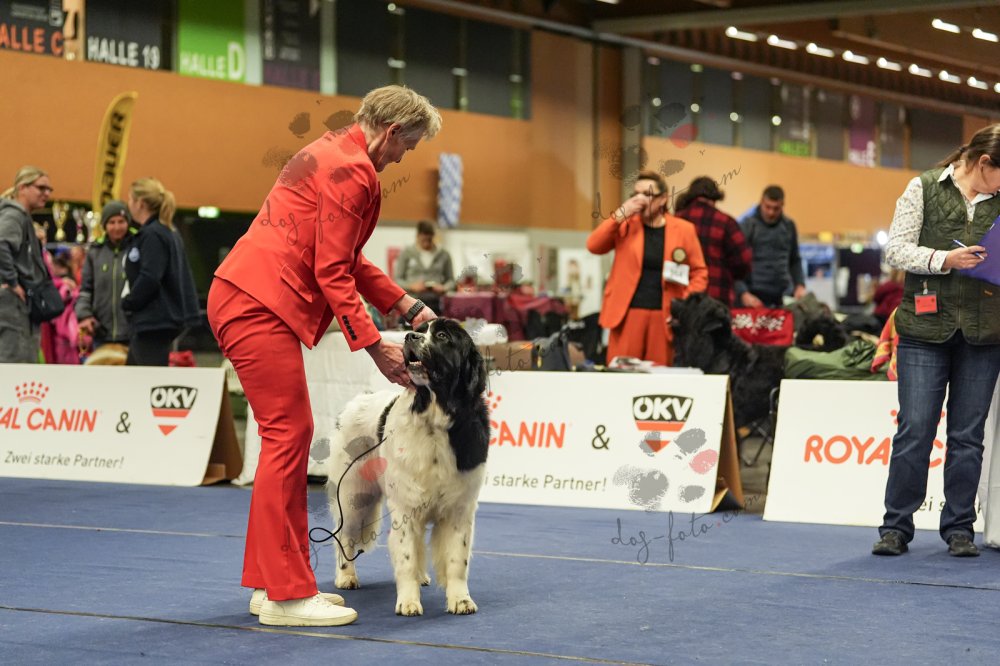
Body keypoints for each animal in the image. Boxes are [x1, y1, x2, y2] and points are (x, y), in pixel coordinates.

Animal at [326, 318, 489, 616]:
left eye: (442, 335)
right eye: (421, 329)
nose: (410, 335)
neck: (435, 418)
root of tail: (356, 401)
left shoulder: (459, 508)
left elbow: (456, 559)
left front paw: (460, 599)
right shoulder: (406, 505)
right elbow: (406, 554)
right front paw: (409, 602)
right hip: (354, 495)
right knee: (344, 534)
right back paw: (346, 576)